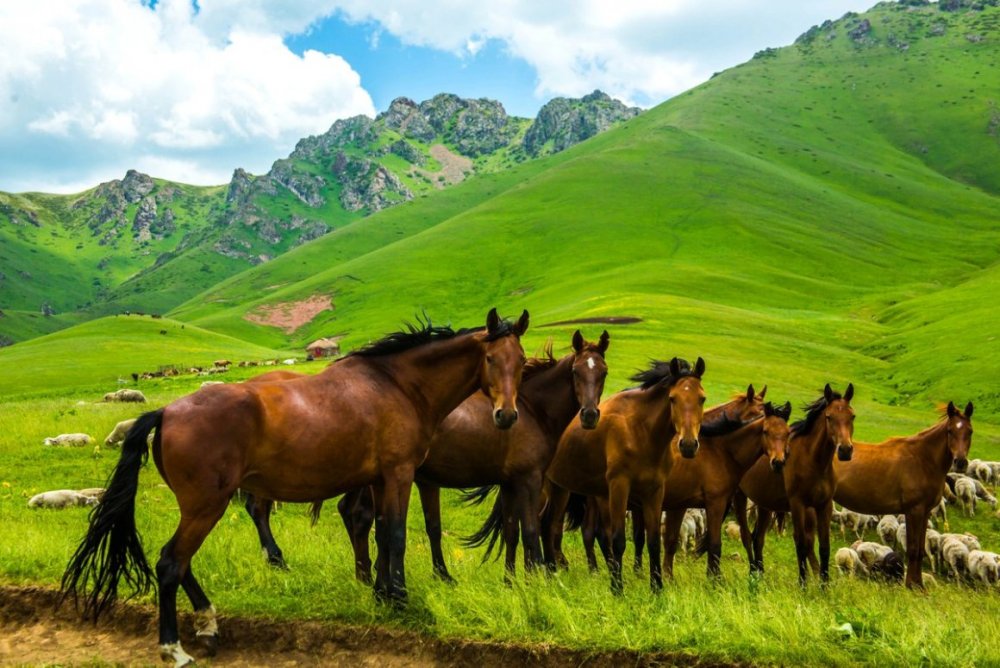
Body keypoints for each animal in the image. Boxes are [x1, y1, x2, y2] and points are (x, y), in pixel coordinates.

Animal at [61, 309, 529, 667]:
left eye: (521, 361)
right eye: (490, 359)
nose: (506, 416)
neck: (398, 385)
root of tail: (167, 411)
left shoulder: (379, 480)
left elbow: (378, 534)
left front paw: (380, 594)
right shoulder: (399, 475)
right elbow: (395, 536)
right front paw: (399, 599)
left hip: (198, 508)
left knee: (181, 561)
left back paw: (209, 624)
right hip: (207, 506)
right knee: (170, 563)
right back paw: (174, 648)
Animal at [541, 357, 710, 595]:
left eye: (702, 398)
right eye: (672, 398)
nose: (687, 445)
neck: (641, 432)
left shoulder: (654, 491)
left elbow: (653, 542)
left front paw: (657, 588)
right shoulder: (619, 487)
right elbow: (618, 540)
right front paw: (617, 588)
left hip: (562, 489)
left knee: (548, 525)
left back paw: (551, 571)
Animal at [734, 384, 855, 585]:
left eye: (852, 416)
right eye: (829, 417)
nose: (845, 450)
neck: (814, 462)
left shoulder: (823, 506)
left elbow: (824, 546)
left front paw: (825, 586)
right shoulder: (798, 505)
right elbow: (801, 543)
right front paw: (803, 584)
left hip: (765, 505)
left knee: (758, 538)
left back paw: (760, 576)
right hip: (739, 497)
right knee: (746, 536)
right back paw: (752, 575)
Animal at [833, 401, 973, 589]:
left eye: (970, 431)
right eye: (950, 431)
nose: (960, 462)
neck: (922, 460)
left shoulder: (925, 512)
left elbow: (920, 549)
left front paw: (918, 585)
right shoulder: (914, 511)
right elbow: (913, 549)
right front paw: (912, 585)